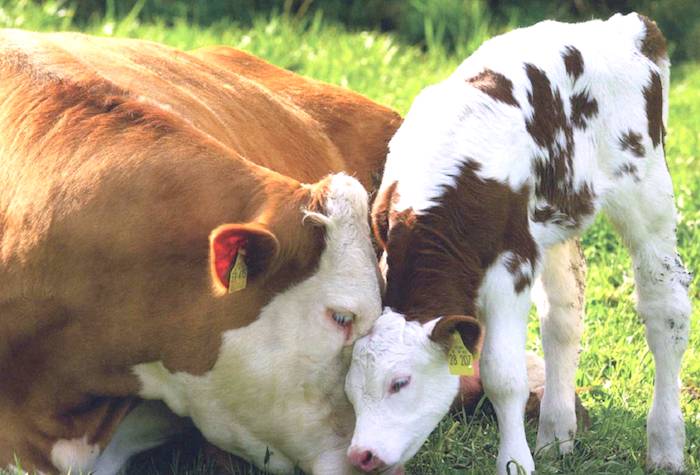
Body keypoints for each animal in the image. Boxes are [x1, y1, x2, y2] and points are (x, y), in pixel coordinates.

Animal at [345, 13, 691, 475]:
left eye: (399, 383)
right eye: (349, 389)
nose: (361, 454)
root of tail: (631, 26)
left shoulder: (511, 267)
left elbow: (502, 377)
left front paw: (515, 462)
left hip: (646, 188)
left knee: (665, 307)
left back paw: (666, 447)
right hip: (556, 217)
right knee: (564, 314)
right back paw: (556, 435)